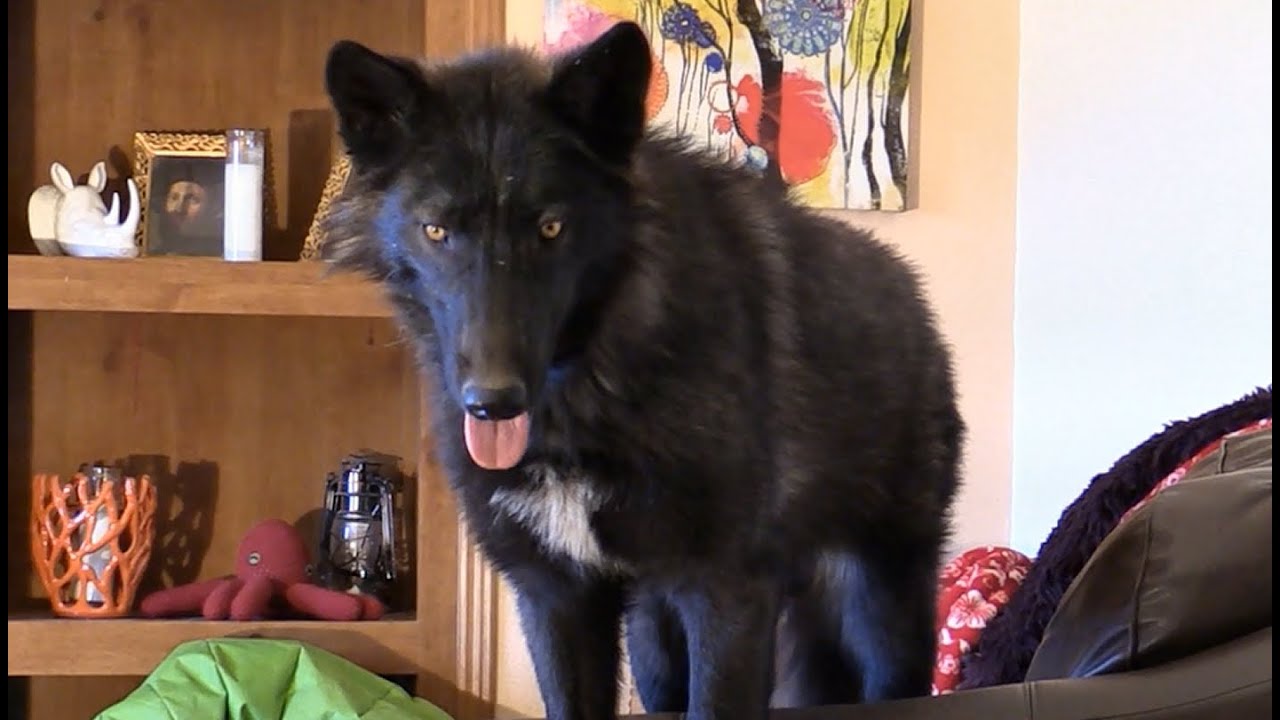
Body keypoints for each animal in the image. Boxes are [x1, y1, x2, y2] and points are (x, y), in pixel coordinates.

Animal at [320, 21, 962, 720]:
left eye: (551, 227)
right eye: (436, 230)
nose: (491, 402)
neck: (591, 386)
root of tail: (911, 295)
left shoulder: (726, 594)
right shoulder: (557, 597)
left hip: (883, 613)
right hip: (655, 638)